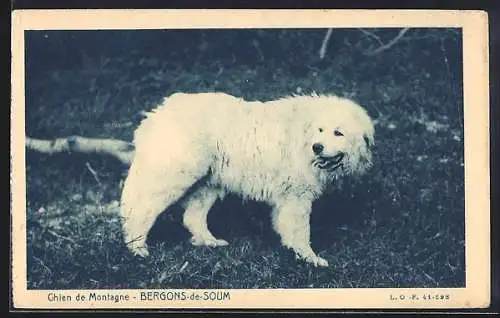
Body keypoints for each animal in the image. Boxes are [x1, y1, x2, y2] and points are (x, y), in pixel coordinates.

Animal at [119, 91, 374, 266]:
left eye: (338, 133)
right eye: (321, 130)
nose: (317, 147)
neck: (305, 134)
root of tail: (159, 112)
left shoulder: (288, 198)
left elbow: (287, 227)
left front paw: (294, 250)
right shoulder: (297, 197)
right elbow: (302, 231)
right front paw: (309, 258)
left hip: (208, 184)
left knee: (192, 217)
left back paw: (209, 242)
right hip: (173, 177)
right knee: (140, 211)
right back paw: (137, 248)